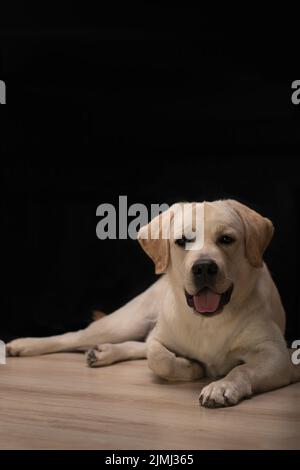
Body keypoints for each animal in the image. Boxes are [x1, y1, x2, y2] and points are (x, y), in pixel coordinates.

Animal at [7, 200, 300, 406]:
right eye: (182, 240)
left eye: (226, 239)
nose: (204, 267)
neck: (207, 322)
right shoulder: (161, 337)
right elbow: (157, 357)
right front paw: (191, 367)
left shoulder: (277, 354)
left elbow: (242, 369)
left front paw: (222, 385)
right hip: (124, 322)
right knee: (74, 337)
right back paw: (23, 344)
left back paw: (103, 352)